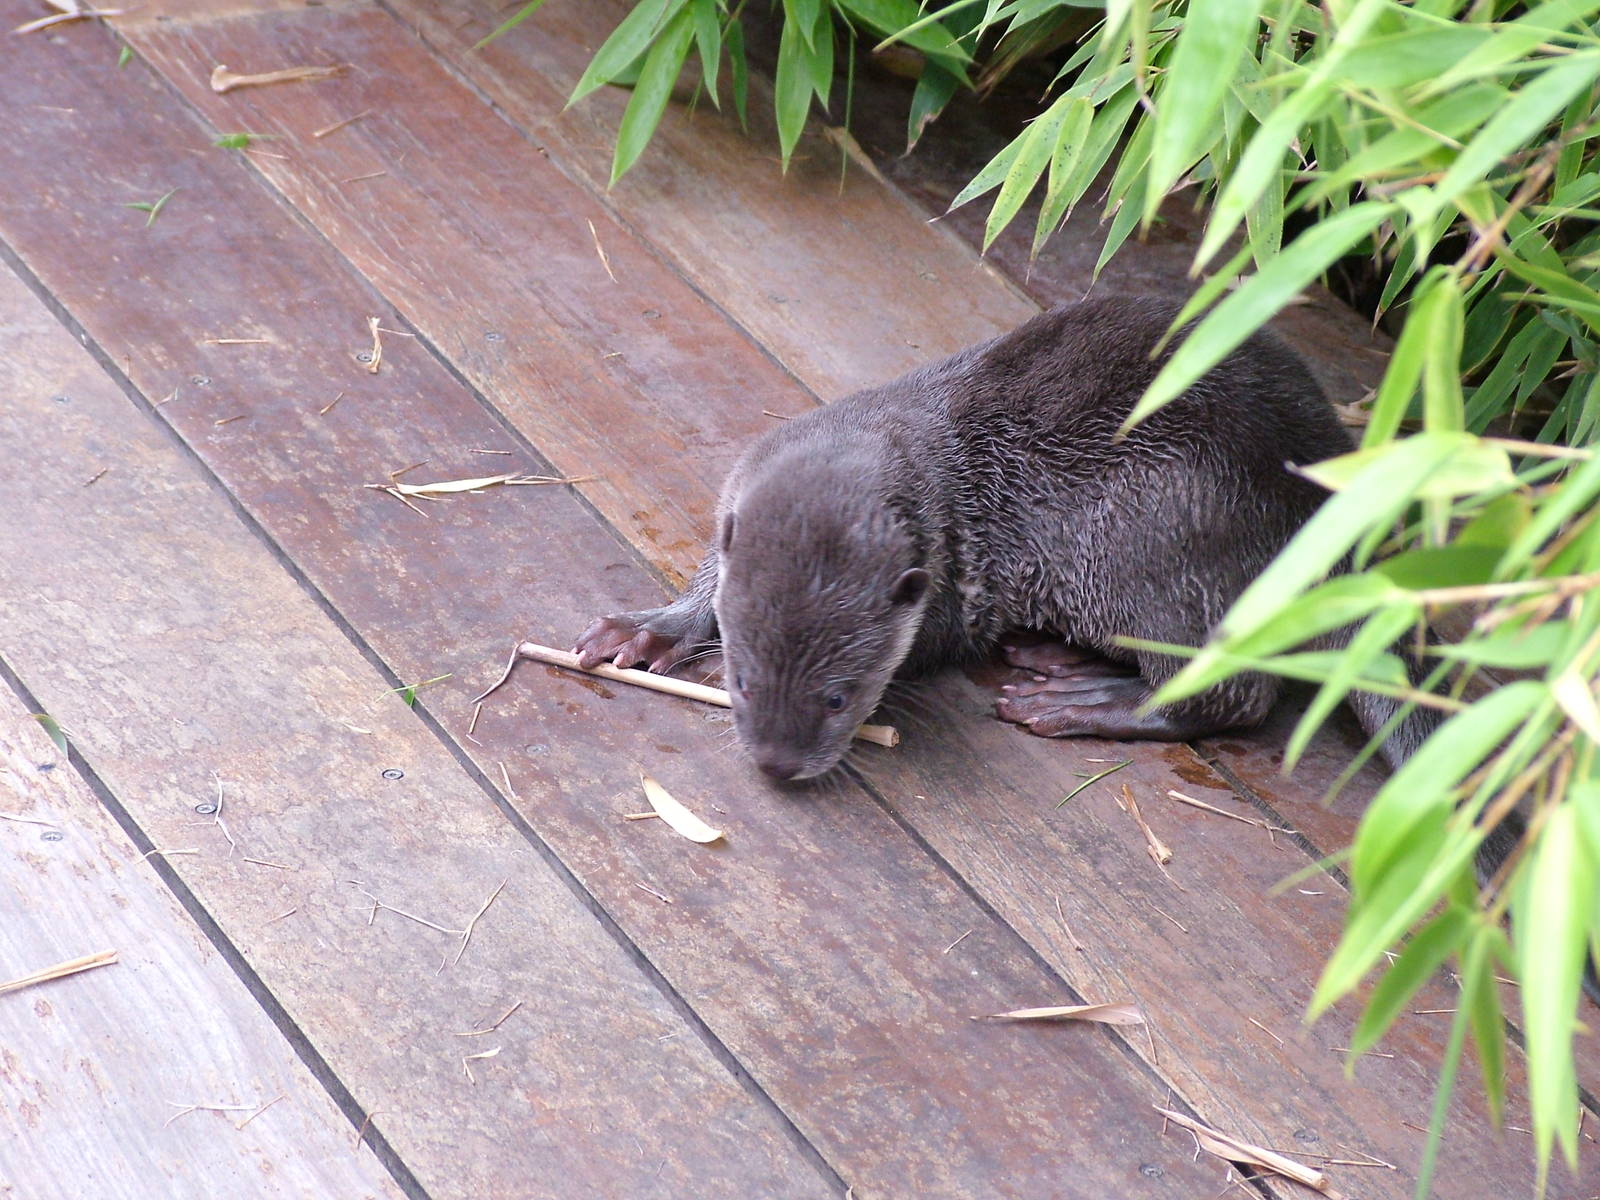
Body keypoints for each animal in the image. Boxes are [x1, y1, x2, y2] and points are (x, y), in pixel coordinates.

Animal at [574, 297, 1428, 781]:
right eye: (744, 682)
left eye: (839, 697)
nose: (779, 765)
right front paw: (650, 630)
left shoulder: (956, 579)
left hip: (1159, 526)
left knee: (1233, 691)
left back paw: (1084, 701)